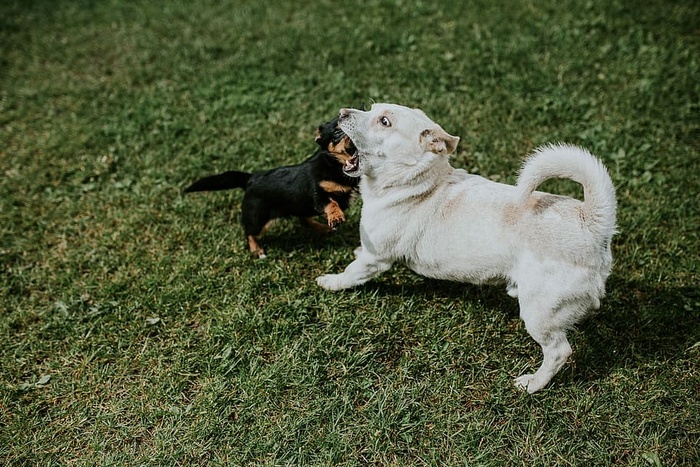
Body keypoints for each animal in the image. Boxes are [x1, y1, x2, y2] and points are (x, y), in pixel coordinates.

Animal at [185, 115, 358, 258]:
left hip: (298, 206)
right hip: (259, 219)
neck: (335, 165)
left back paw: (323, 228)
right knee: (249, 232)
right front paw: (336, 216)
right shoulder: (318, 193)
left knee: (303, 220)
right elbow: (331, 203)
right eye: (337, 132)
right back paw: (257, 250)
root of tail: (251, 178)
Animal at [318, 104, 616, 394]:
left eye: (384, 122)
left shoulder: (376, 258)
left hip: (538, 313)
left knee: (558, 351)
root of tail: (589, 221)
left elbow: (351, 273)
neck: (415, 182)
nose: (342, 112)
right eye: (370, 108)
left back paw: (533, 383)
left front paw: (330, 282)